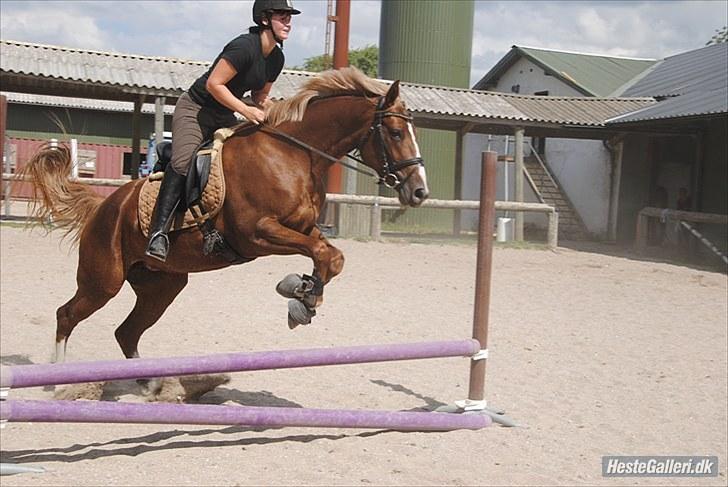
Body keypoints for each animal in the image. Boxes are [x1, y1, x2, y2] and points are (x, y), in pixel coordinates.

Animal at [19, 66, 430, 386]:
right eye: (396, 133)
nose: (420, 191)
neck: (295, 154)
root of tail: (102, 207)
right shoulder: (256, 234)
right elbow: (321, 253)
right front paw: (301, 297)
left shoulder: (303, 228)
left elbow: (330, 256)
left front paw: (303, 294)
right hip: (103, 280)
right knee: (67, 315)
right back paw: (57, 381)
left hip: (161, 286)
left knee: (127, 331)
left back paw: (153, 388)